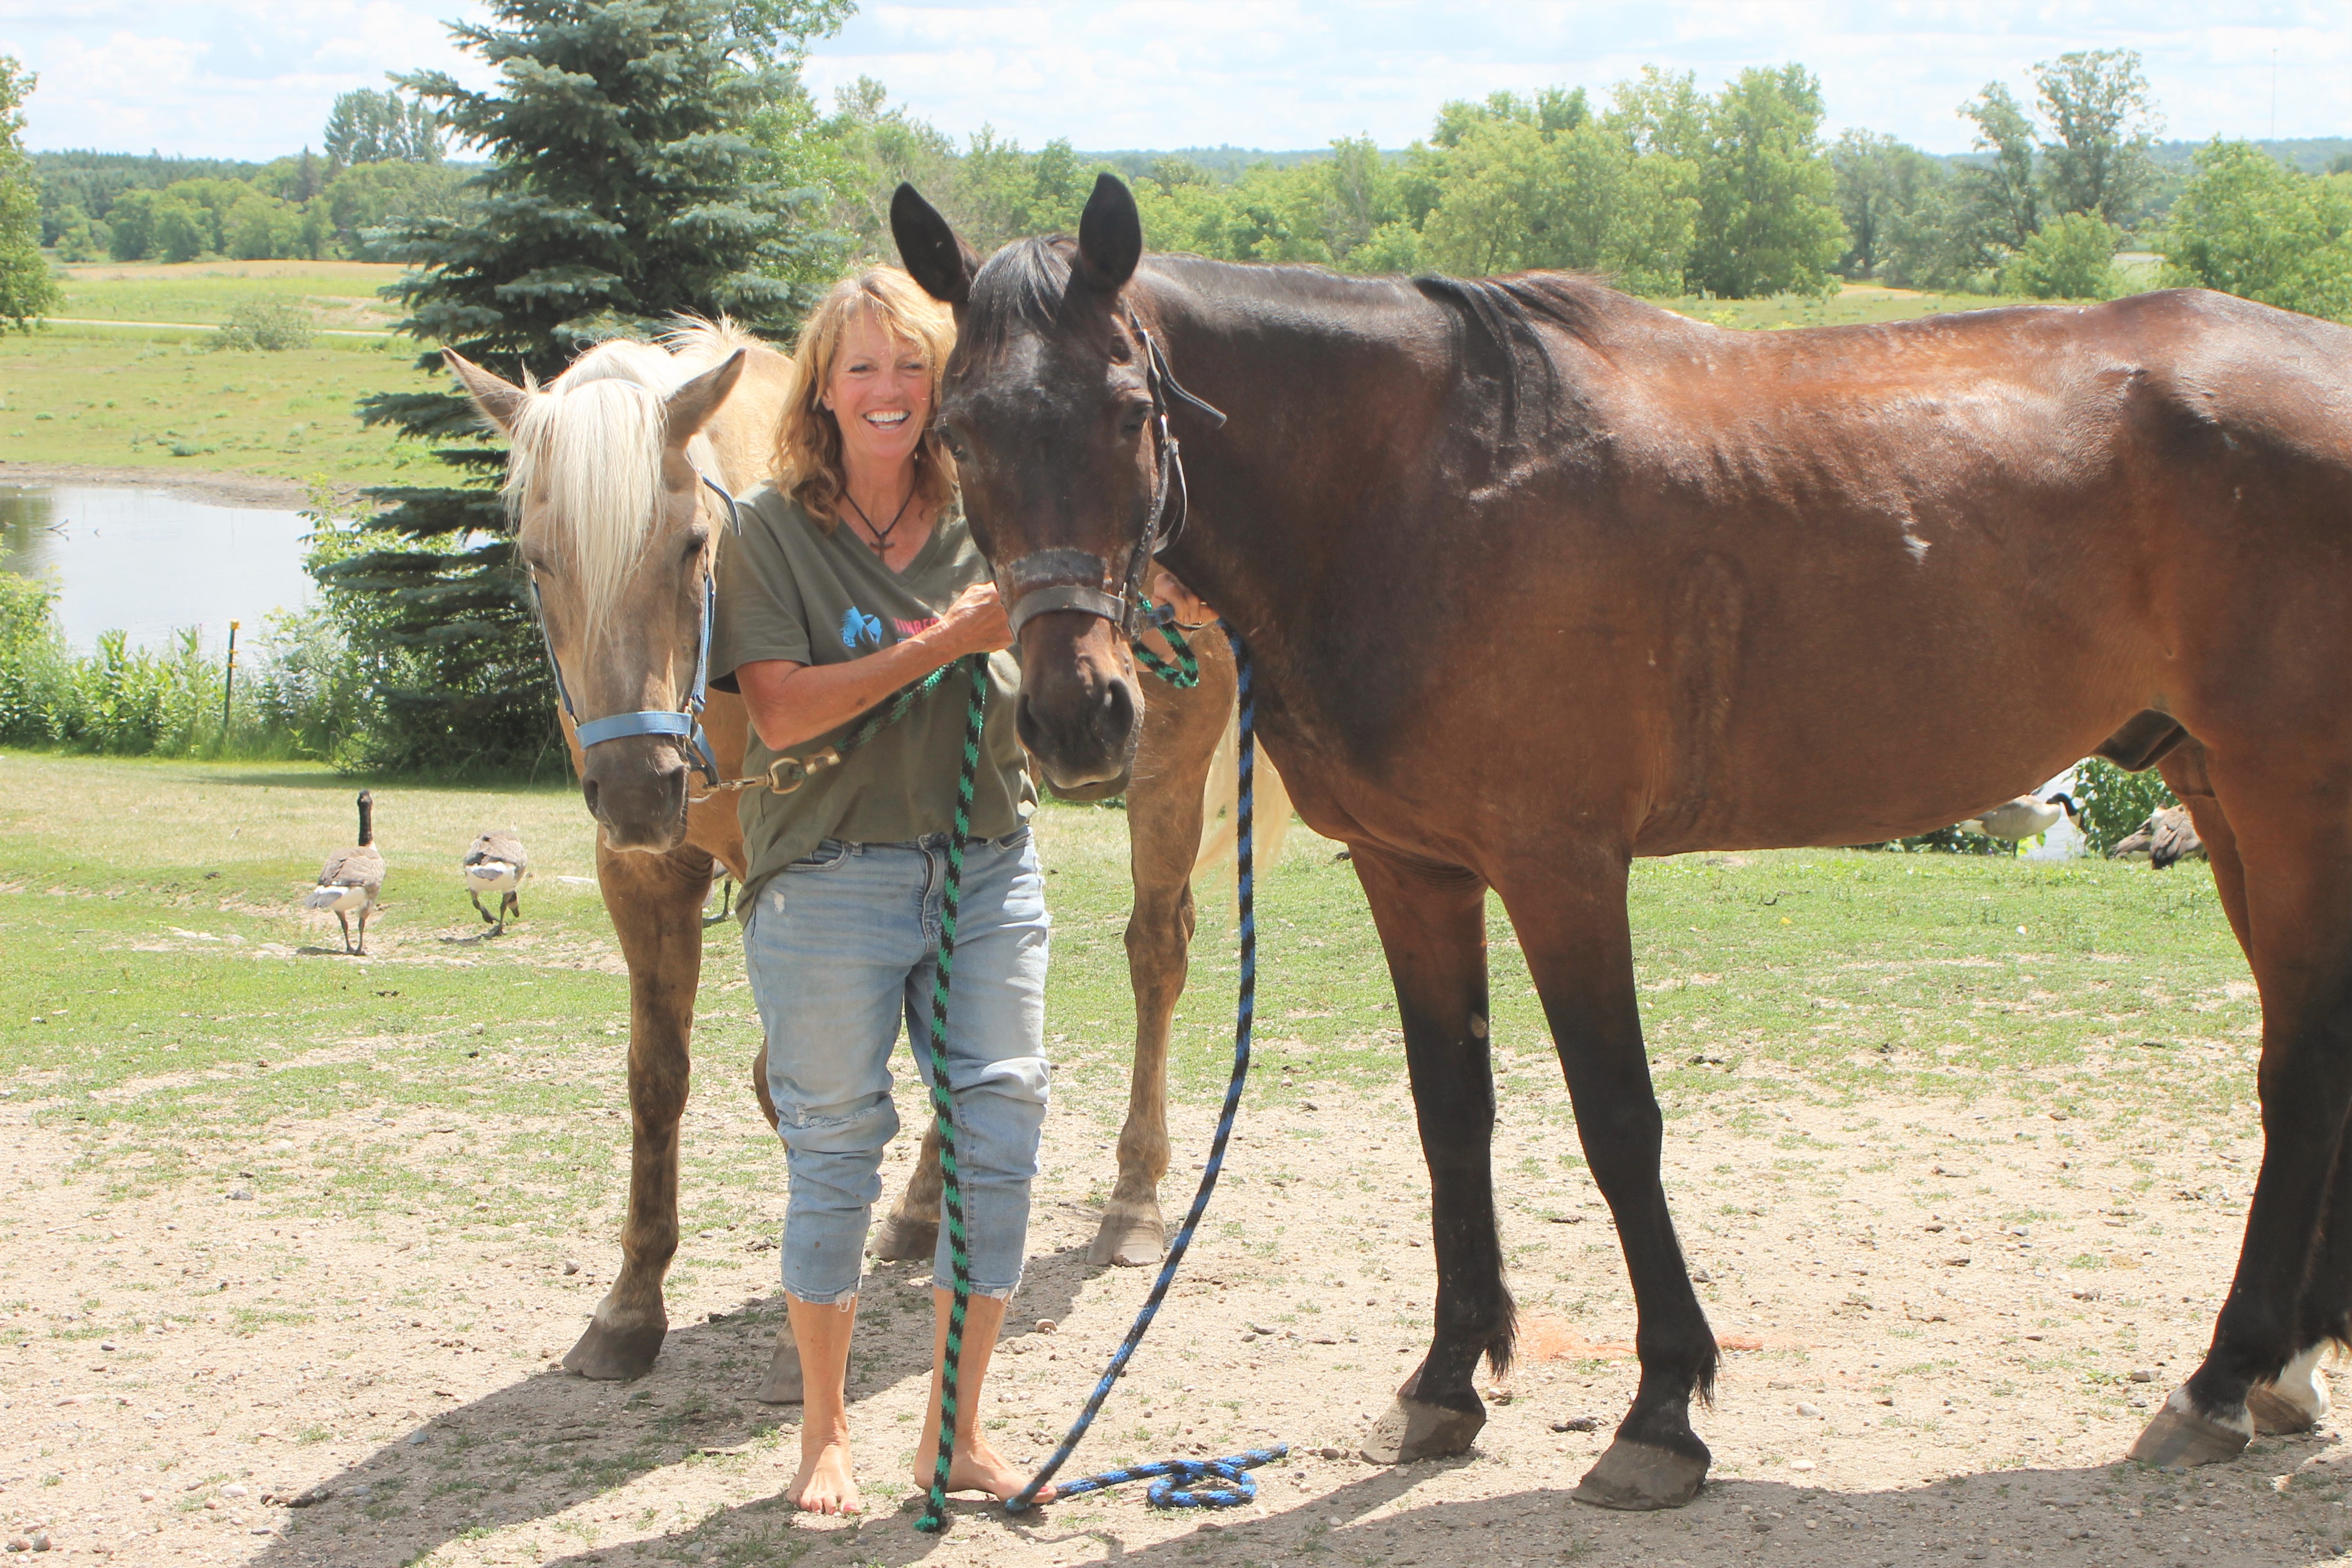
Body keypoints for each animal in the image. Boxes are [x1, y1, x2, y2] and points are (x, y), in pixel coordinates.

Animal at [440, 320, 1268, 1401]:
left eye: (692, 545)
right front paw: (630, 1308)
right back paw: (922, 1207)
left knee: (1155, 952)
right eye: (540, 561)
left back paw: (1131, 1203)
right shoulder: (652, 876)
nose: (634, 784)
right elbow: (663, 1076)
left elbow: (797, 1086)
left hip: (1163, 767)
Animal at [889, 172, 2352, 1508]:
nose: (1076, 715)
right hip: (2227, 794)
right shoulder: (1414, 871)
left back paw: (2220, 1378)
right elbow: (1452, 1114)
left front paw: (1661, 1410)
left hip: (2285, 797)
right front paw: (1446, 1378)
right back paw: (2285, 1370)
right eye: (958, 429)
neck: (1420, 486)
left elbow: (1616, 1120)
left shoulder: (1562, 869)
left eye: (1131, 412)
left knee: (2296, 1074)